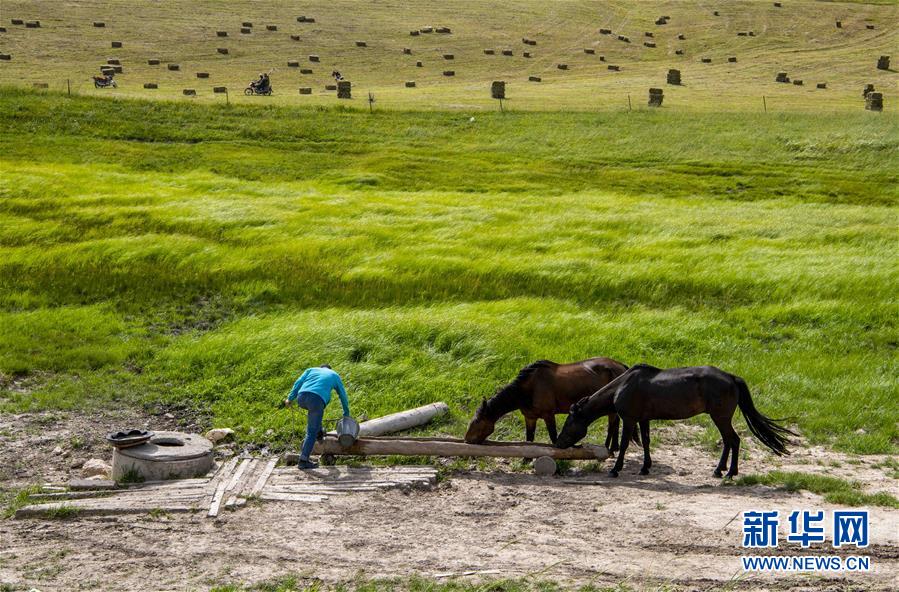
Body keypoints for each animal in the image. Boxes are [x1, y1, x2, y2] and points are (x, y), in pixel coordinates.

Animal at [464, 356, 632, 448]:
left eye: (477, 421)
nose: (467, 440)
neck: (528, 389)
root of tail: (622, 366)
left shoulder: (548, 415)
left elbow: (553, 437)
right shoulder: (530, 417)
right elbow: (529, 439)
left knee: (612, 425)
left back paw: (609, 448)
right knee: (615, 424)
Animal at [560, 364, 800, 478]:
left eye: (569, 422)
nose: (558, 442)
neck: (624, 385)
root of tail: (732, 377)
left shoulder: (629, 420)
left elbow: (626, 445)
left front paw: (615, 469)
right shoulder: (644, 419)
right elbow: (646, 442)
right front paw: (645, 467)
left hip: (720, 417)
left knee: (733, 440)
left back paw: (729, 472)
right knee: (729, 442)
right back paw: (721, 470)